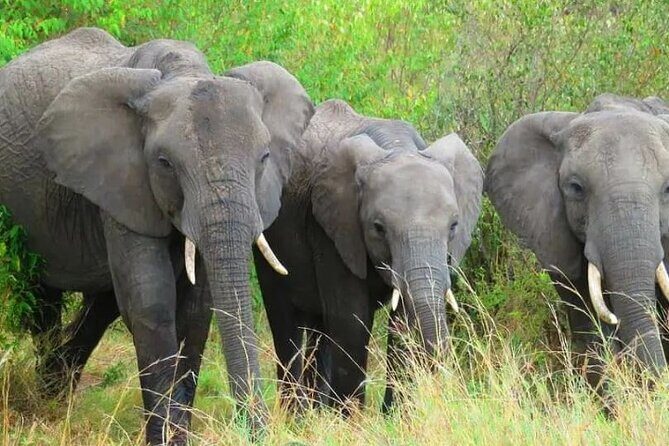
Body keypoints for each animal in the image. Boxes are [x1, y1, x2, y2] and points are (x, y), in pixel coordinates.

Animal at [0, 28, 313, 443]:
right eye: (164, 164)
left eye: (264, 158)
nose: (255, 430)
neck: (182, 72)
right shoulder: (119, 177)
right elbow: (152, 302)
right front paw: (165, 438)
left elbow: (196, 311)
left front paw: (178, 433)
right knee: (41, 298)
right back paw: (49, 395)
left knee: (100, 305)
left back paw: (56, 386)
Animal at [254, 99, 483, 412]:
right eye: (378, 228)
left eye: (454, 226)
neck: (396, 146)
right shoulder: (332, 227)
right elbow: (351, 321)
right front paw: (350, 420)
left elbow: (403, 325)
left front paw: (395, 418)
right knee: (285, 322)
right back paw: (297, 416)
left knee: (319, 328)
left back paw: (316, 412)